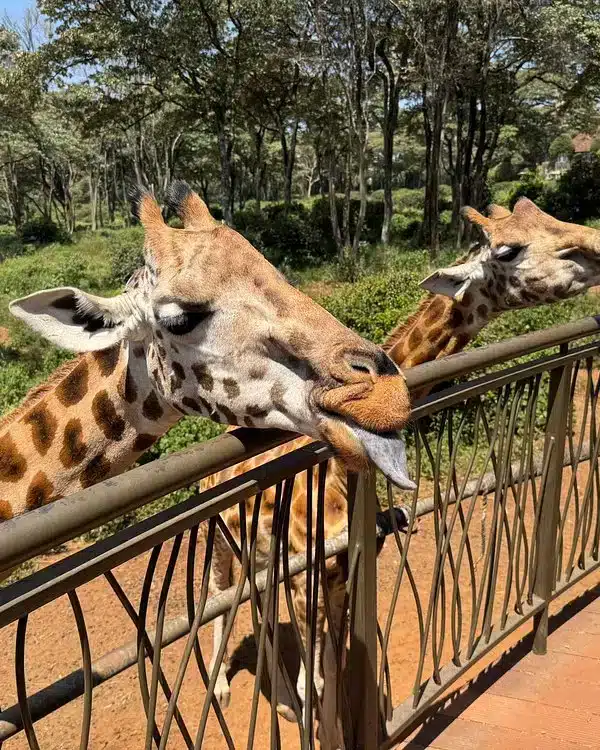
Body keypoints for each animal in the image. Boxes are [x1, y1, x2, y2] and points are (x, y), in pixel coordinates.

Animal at [201, 196, 600, 723]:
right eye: (509, 250)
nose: (596, 247)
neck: (338, 474)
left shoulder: (338, 570)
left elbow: (336, 662)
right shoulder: (309, 574)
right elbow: (316, 670)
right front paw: (305, 709)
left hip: (262, 555)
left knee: (259, 609)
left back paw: (279, 699)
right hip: (221, 540)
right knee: (219, 596)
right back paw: (224, 689)